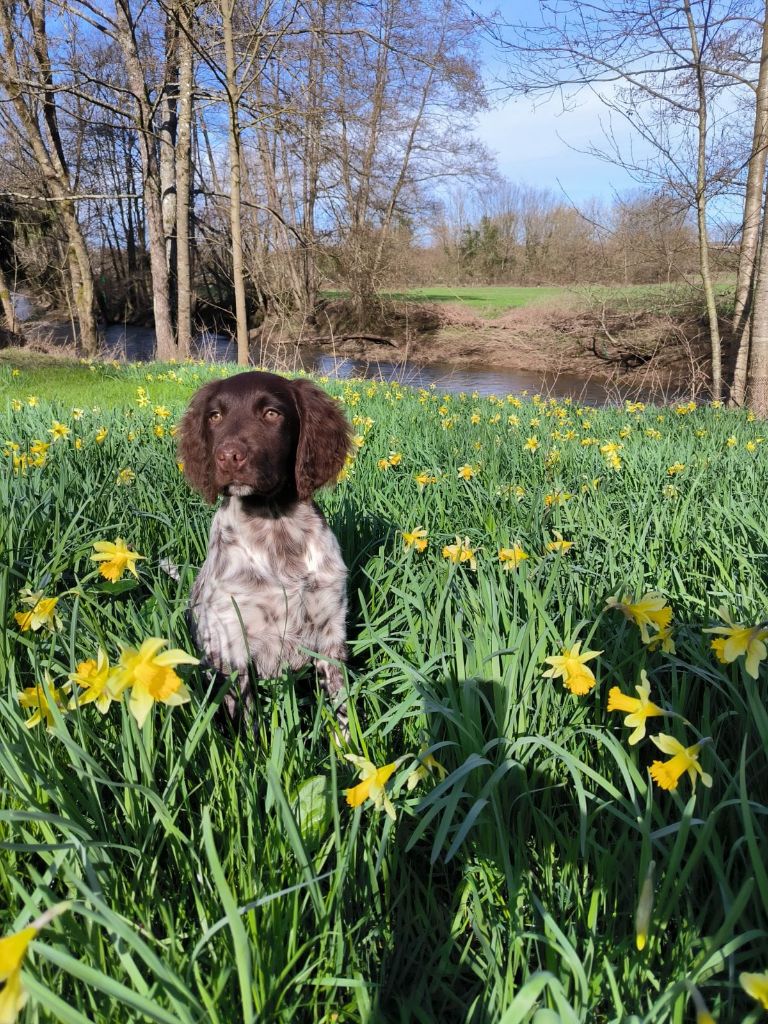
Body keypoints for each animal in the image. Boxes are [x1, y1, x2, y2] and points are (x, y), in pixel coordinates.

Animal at [179, 372, 350, 733]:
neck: (275, 525)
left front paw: (350, 747)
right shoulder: (232, 642)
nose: (228, 457)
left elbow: (343, 711)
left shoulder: (330, 630)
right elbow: (249, 722)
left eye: (272, 413)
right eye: (215, 417)